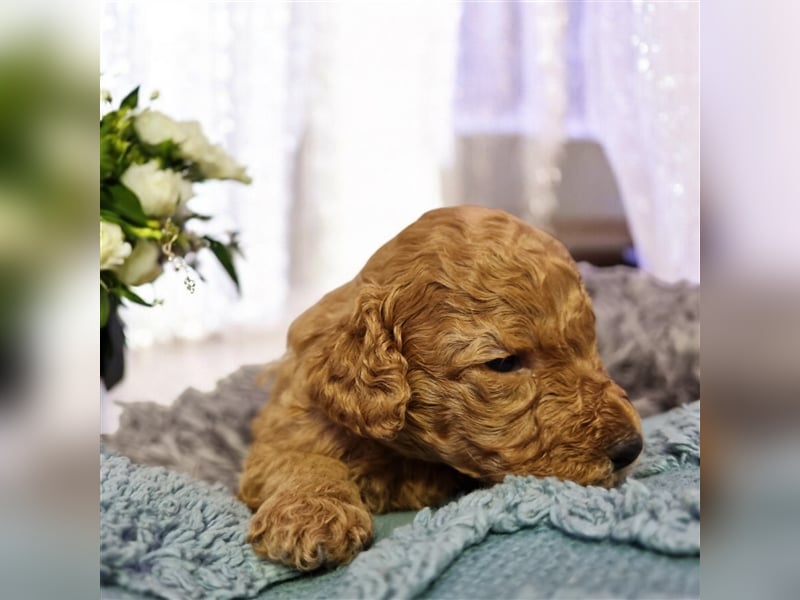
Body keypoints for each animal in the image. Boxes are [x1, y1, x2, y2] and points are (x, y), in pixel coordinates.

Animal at [238, 206, 644, 572]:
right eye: (503, 363)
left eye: (589, 344)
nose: (631, 448)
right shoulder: (288, 425)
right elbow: (299, 458)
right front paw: (314, 516)